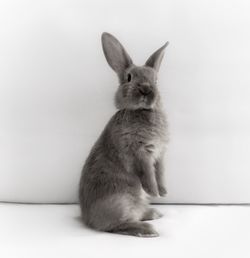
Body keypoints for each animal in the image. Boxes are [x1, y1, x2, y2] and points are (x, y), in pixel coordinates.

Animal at [79, 32, 170, 238]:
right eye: (129, 77)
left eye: (156, 80)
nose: (146, 89)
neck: (142, 111)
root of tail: (88, 219)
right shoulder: (139, 152)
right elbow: (148, 173)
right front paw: (154, 192)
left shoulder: (159, 154)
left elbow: (160, 172)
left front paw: (163, 192)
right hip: (121, 201)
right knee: (116, 225)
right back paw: (148, 229)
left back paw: (153, 213)